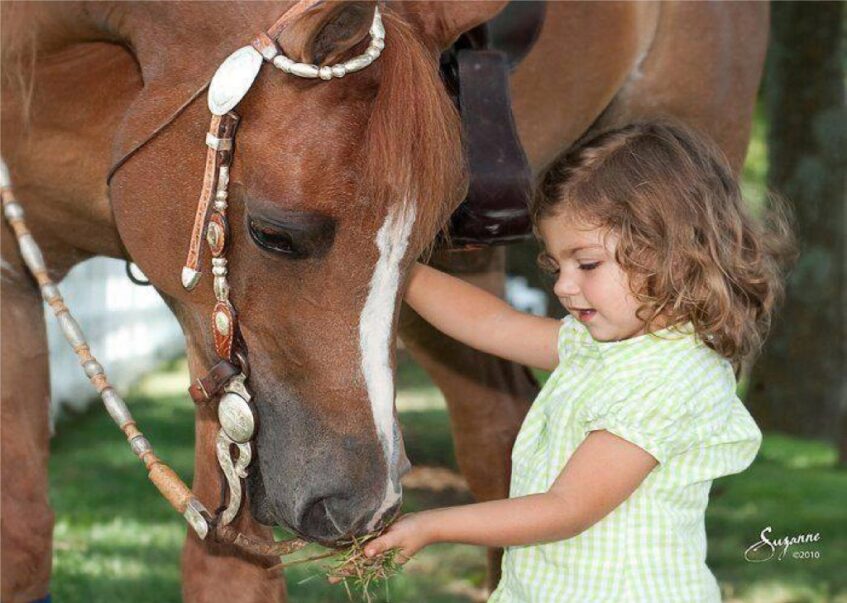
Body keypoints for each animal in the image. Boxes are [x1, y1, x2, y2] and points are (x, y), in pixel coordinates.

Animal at [1, 2, 768, 600]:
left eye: (427, 231)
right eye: (275, 234)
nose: (360, 507)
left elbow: (227, 572)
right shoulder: (15, 277)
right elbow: (24, 538)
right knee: (498, 435)